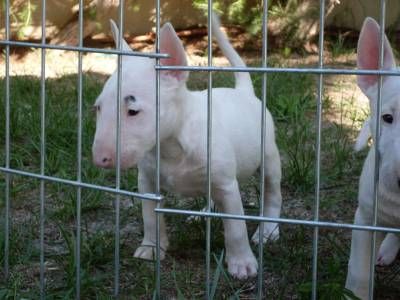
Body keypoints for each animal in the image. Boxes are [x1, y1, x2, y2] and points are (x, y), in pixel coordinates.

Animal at [92, 12, 282, 278]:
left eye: (133, 111)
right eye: (98, 108)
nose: (100, 159)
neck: (171, 143)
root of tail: (243, 91)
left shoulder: (227, 185)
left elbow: (235, 228)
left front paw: (242, 263)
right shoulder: (147, 182)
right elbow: (150, 217)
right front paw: (151, 248)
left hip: (269, 156)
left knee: (273, 193)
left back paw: (268, 231)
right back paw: (203, 214)